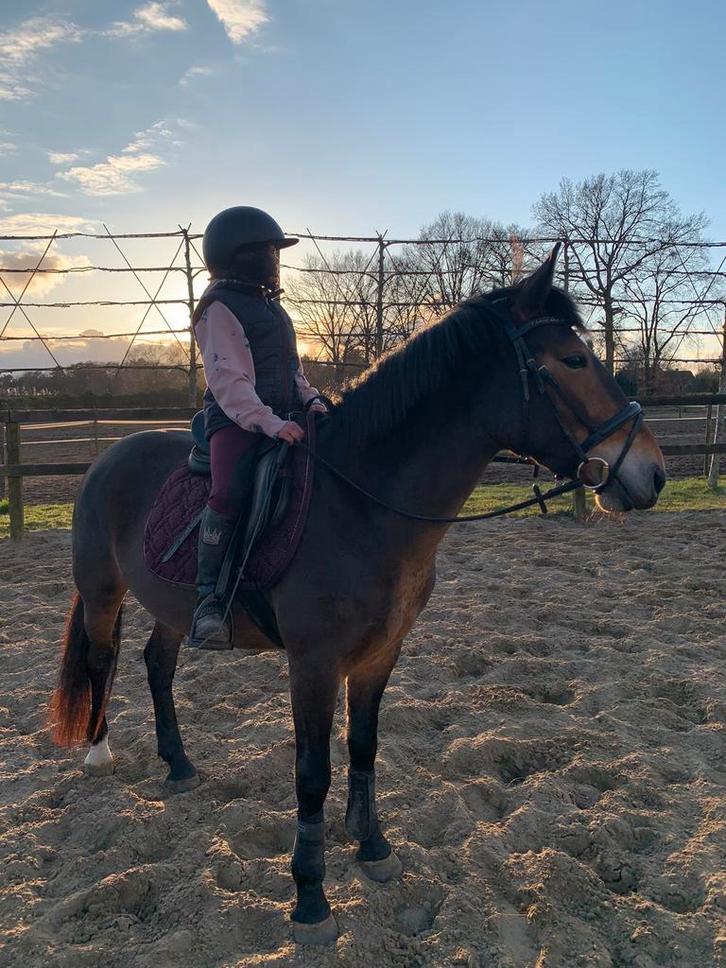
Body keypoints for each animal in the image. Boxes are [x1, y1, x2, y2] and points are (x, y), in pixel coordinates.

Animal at [49, 248, 666, 945]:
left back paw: (178, 764)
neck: (362, 504)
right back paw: (99, 753)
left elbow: (364, 747)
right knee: (101, 660)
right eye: (573, 360)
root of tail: (107, 457)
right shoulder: (313, 664)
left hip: (172, 605)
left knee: (157, 663)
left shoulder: (379, 654)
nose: (652, 473)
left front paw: (372, 849)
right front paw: (310, 896)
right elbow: (311, 773)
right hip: (103, 592)